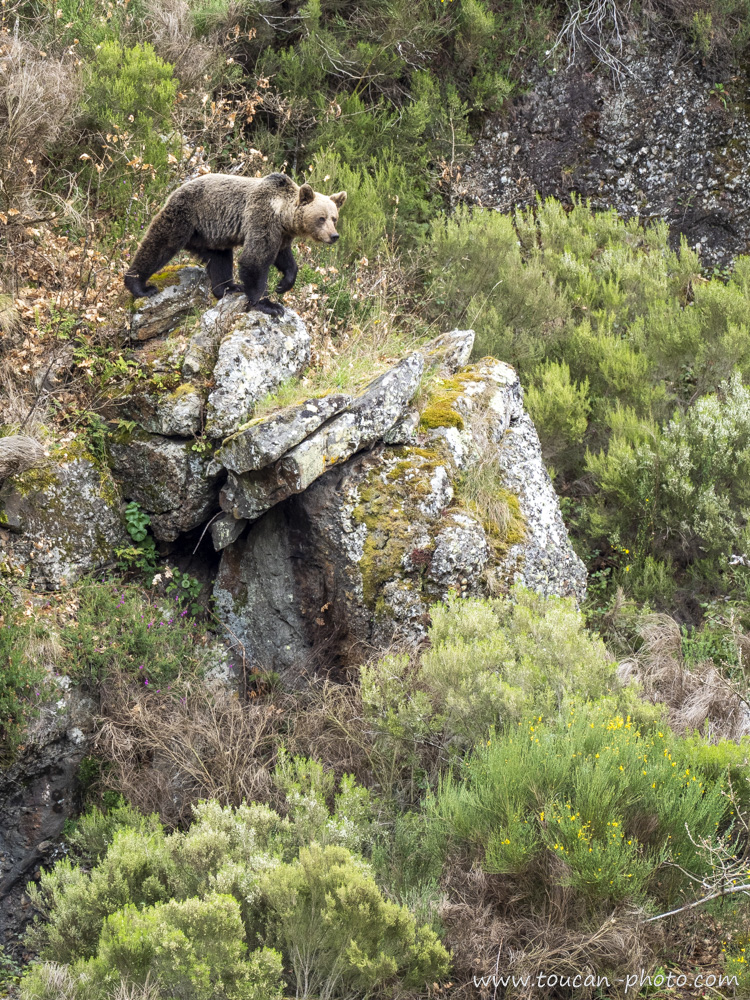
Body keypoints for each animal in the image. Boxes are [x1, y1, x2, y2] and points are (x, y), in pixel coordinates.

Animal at [125, 170, 348, 314]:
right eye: (321, 218)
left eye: (334, 218)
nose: (334, 236)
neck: (283, 216)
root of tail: (177, 188)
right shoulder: (262, 217)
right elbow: (255, 259)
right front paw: (268, 304)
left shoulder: (282, 234)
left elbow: (283, 257)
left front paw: (283, 284)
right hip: (185, 216)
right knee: (160, 243)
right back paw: (139, 285)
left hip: (212, 235)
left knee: (220, 259)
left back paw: (228, 287)